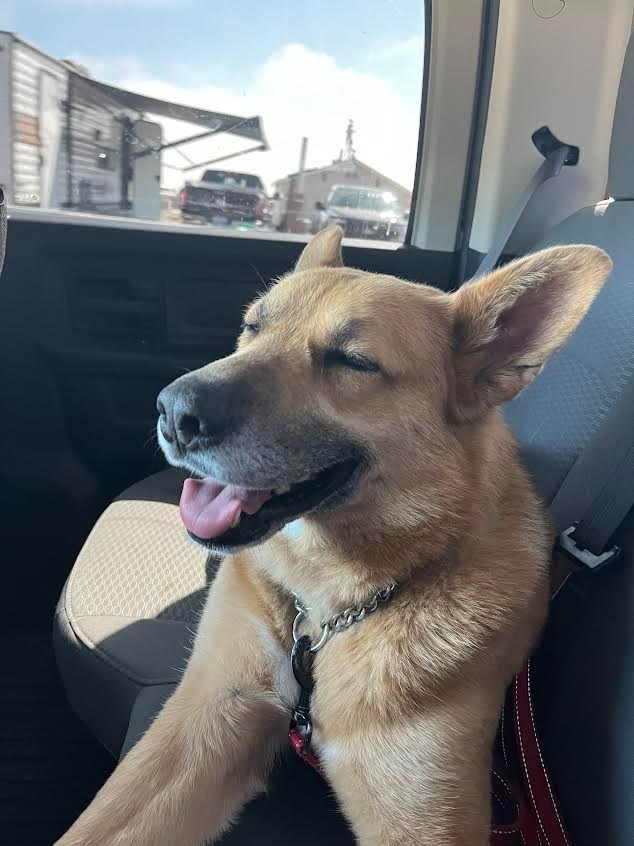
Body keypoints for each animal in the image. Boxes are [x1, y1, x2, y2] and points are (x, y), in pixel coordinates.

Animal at [56, 227, 608, 846]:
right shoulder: (211, 711)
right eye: (252, 326)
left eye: (353, 360)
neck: (328, 612)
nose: (174, 413)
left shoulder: (423, 819)